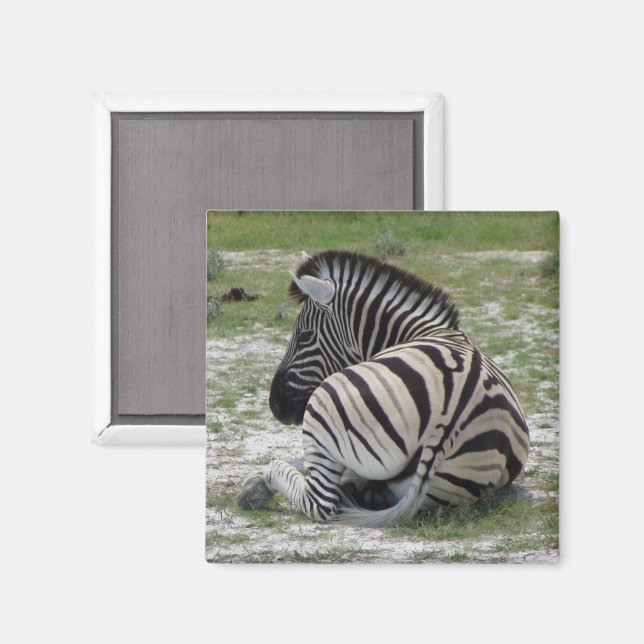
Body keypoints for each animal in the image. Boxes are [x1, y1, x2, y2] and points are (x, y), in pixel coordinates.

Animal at [237, 250, 530, 527]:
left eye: (305, 336)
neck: (424, 331)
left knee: (320, 500)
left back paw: (258, 486)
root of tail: (447, 422)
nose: (276, 405)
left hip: (322, 404)